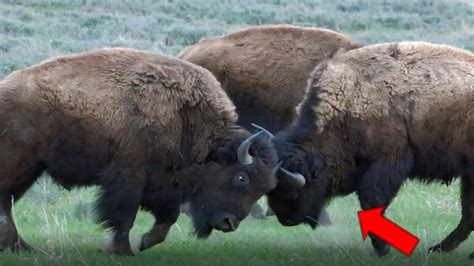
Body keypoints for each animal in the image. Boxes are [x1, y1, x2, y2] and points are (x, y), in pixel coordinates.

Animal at [0, 47, 280, 256]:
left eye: (264, 188)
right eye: (241, 177)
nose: (228, 223)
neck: (185, 115)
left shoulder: (163, 181)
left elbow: (168, 216)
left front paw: (145, 241)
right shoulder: (130, 175)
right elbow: (125, 215)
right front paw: (123, 251)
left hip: (31, 169)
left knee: (7, 203)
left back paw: (20, 247)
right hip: (20, 165)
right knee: (6, 201)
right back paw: (20, 247)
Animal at [266, 42, 474, 258]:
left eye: (293, 192)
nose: (285, 219)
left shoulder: (387, 161)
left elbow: (371, 202)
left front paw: (383, 249)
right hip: (469, 174)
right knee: (469, 213)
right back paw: (441, 248)